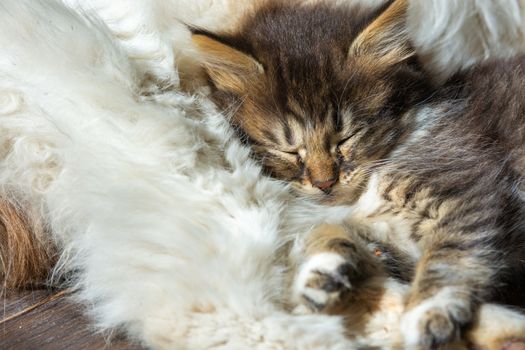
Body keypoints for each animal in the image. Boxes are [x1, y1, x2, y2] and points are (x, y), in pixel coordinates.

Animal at [191, 0, 524, 348]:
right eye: (290, 150)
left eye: (346, 137)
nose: (324, 183)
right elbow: (328, 232)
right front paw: (321, 271)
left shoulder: (467, 186)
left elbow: (449, 256)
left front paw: (427, 313)